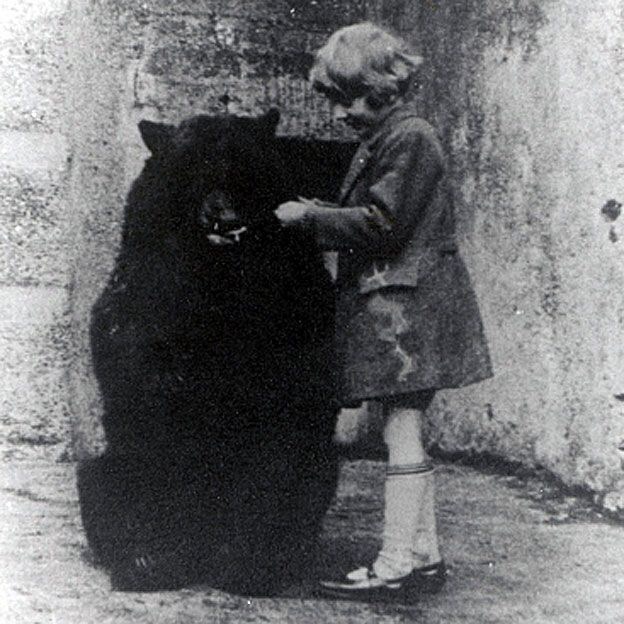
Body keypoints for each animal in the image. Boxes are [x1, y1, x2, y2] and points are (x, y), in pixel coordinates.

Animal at [78, 109, 356, 596]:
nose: (224, 218)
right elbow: (128, 344)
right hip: (114, 464)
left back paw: (253, 562)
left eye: (243, 174)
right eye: (192, 175)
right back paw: (149, 559)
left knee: (297, 480)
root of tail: (201, 553)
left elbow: (296, 375)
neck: (217, 271)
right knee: (112, 480)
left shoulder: (292, 285)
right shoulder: (149, 274)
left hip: (309, 469)